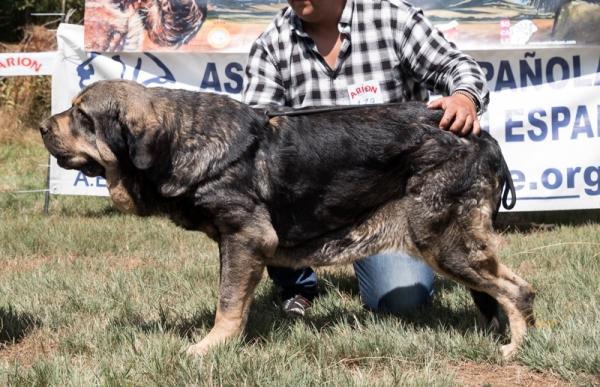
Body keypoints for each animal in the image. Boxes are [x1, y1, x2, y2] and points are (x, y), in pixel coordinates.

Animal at [38, 80, 536, 360]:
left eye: (81, 115)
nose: (42, 127)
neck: (180, 141)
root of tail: (484, 138)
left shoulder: (245, 237)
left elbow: (227, 303)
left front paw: (210, 348)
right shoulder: (241, 244)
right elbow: (234, 300)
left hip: (443, 242)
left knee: (517, 291)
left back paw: (515, 348)